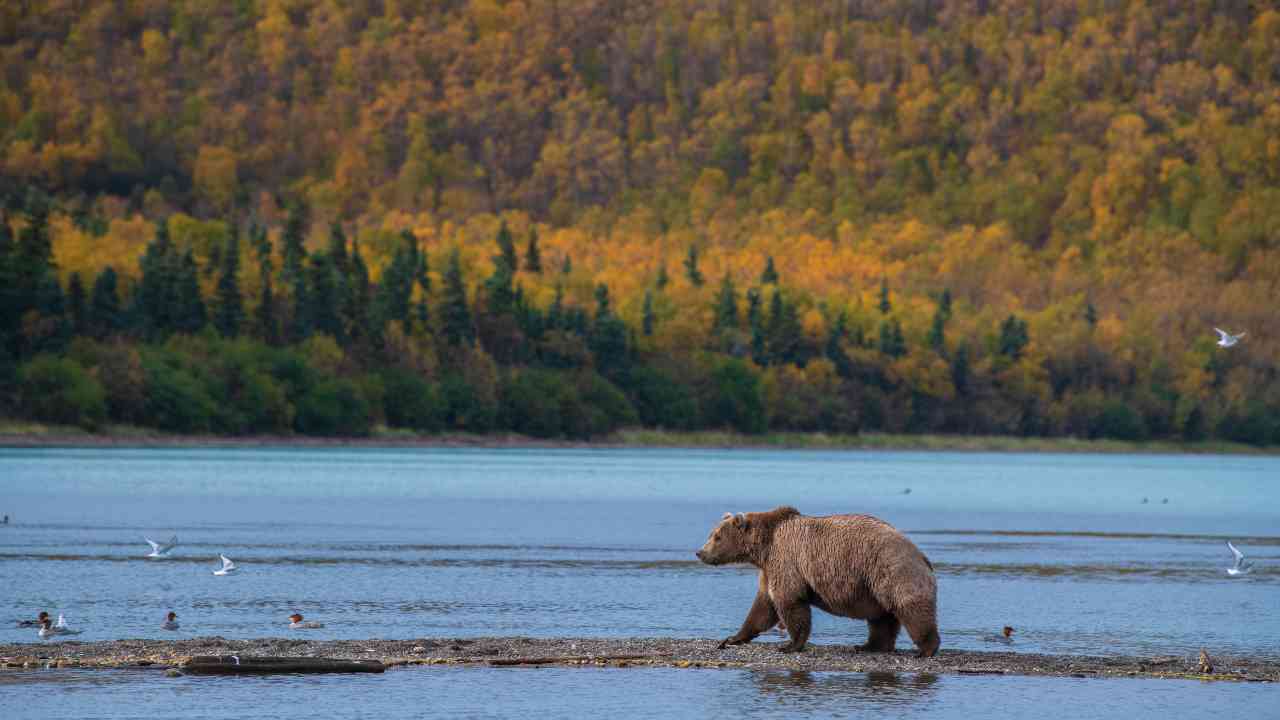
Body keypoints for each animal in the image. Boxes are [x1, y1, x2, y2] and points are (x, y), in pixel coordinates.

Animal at [701, 504, 942, 655]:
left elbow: (789, 602)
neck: (765, 546)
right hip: (874, 583)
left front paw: (790, 645)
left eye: (717, 537)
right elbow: (763, 607)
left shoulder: (786, 559)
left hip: (891, 569)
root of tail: (921, 555)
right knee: (881, 617)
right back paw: (868, 646)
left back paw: (926, 649)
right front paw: (732, 638)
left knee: (910, 609)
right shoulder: (770, 568)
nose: (700, 552)